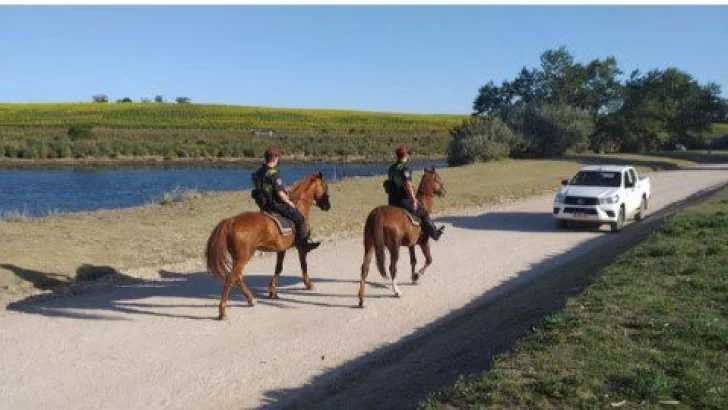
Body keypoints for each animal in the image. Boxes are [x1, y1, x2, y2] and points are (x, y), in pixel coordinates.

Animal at [205, 171, 330, 318]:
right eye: (325, 186)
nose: (327, 206)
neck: (298, 206)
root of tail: (231, 221)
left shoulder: (281, 249)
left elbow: (278, 269)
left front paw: (272, 291)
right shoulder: (301, 247)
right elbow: (303, 266)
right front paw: (308, 285)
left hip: (238, 257)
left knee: (238, 277)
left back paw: (251, 299)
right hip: (244, 257)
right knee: (231, 278)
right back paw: (222, 311)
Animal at [356, 167, 444, 308]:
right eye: (438, 178)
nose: (443, 191)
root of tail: (378, 213)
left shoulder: (411, 245)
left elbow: (413, 260)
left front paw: (413, 277)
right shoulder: (424, 242)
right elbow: (429, 259)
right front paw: (418, 275)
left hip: (369, 245)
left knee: (365, 268)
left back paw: (361, 299)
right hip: (394, 248)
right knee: (392, 268)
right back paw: (396, 291)